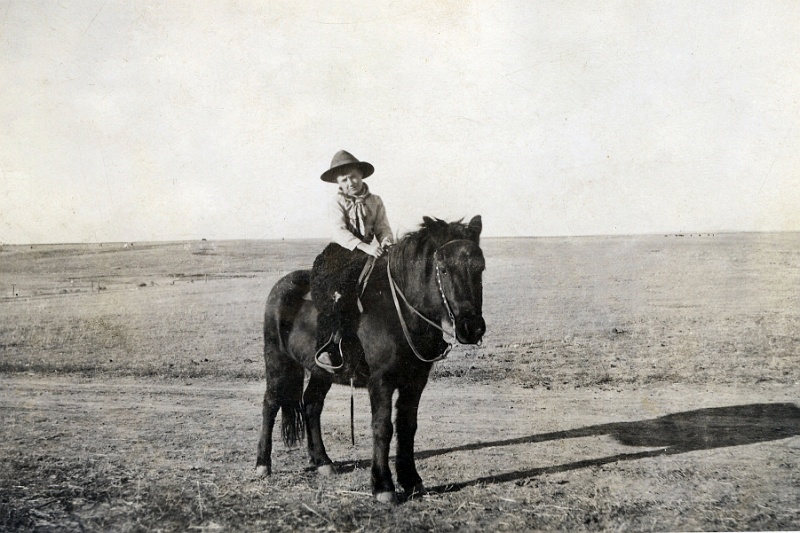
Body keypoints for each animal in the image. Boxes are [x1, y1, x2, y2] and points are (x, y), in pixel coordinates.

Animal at [256, 214, 484, 500]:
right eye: (443, 269)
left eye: (480, 268)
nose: (471, 328)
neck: (399, 311)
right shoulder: (381, 382)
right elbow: (383, 427)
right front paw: (383, 486)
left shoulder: (415, 382)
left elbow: (407, 427)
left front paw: (411, 481)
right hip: (277, 360)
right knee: (270, 403)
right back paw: (263, 464)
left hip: (321, 371)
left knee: (312, 404)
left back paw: (322, 462)